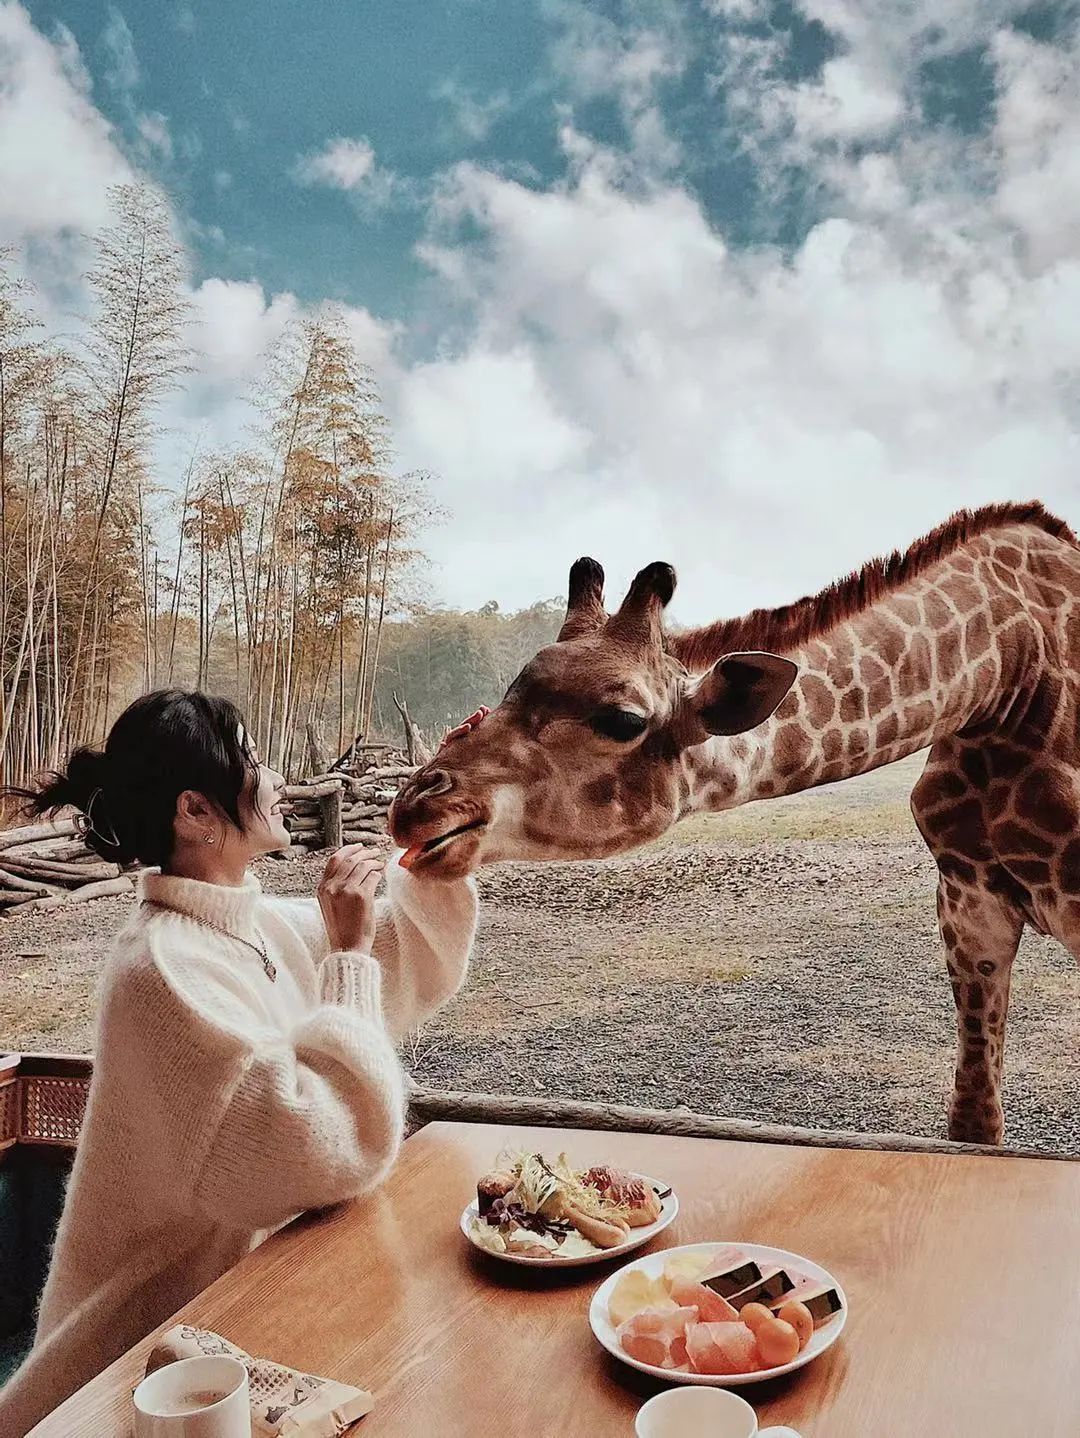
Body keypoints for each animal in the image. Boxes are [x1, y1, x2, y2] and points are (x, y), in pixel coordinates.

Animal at [394, 506, 1080, 1144]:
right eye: (508, 692)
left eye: (622, 719)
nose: (414, 810)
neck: (1003, 680)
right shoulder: (968, 905)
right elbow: (974, 1125)